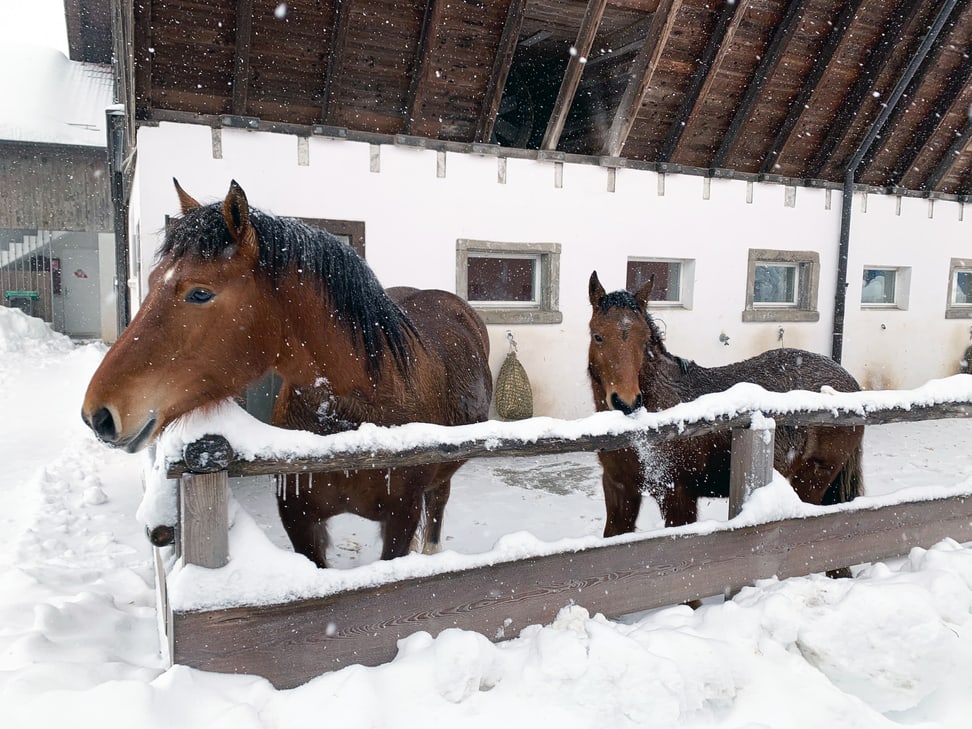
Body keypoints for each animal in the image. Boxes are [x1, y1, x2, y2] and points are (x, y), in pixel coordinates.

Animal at [80, 179, 494, 564]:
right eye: (150, 282)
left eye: (200, 293)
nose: (98, 415)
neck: (350, 422)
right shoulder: (299, 518)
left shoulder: (400, 520)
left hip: (441, 481)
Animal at [588, 272, 860, 544]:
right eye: (598, 336)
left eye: (644, 340)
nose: (627, 402)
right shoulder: (619, 489)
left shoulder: (677, 496)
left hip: (813, 479)